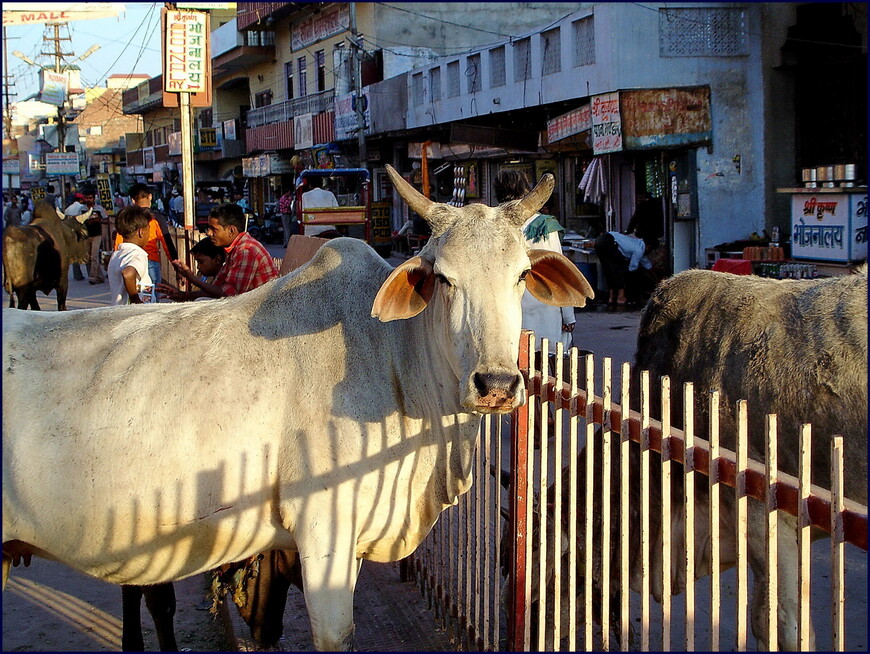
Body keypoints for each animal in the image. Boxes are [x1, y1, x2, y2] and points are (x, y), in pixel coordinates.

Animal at [1, 167, 592, 652]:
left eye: (521, 276)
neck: (394, 354)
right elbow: (335, 635)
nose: (497, 383)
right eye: (444, 279)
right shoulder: (324, 528)